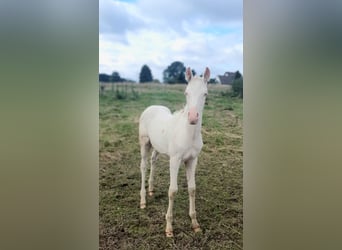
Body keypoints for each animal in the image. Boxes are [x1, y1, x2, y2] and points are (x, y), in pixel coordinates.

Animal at [140, 66, 211, 236]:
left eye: (205, 94)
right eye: (186, 92)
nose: (193, 117)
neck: (188, 133)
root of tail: (151, 107)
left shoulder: (192, 160)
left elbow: (192, 189)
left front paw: (195, 223)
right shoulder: (175, 159)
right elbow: (172, 191)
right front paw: (169, 228)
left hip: (157, 146)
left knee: (153, 160)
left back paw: (151, 189)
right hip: (145, 143)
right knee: (143, 166)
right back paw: (143, 200)